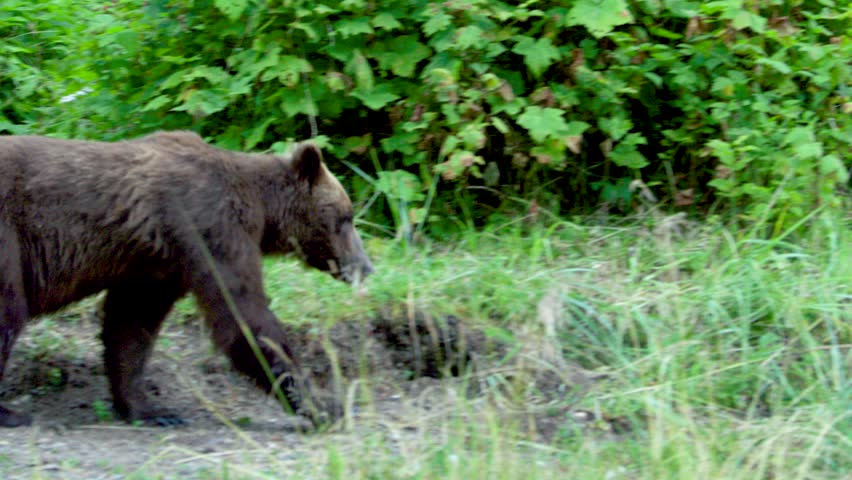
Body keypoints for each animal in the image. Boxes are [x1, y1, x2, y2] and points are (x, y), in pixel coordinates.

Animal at [0, 131, 373, 427]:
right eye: (346, 218)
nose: (366, 267)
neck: (261, 209)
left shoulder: (157, 264)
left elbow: (131, 325)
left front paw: (149, 408)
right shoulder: (210, 228)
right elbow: (245, 317)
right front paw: (324, 407)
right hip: (9, 241)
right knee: (9, 313)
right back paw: (11, 413)